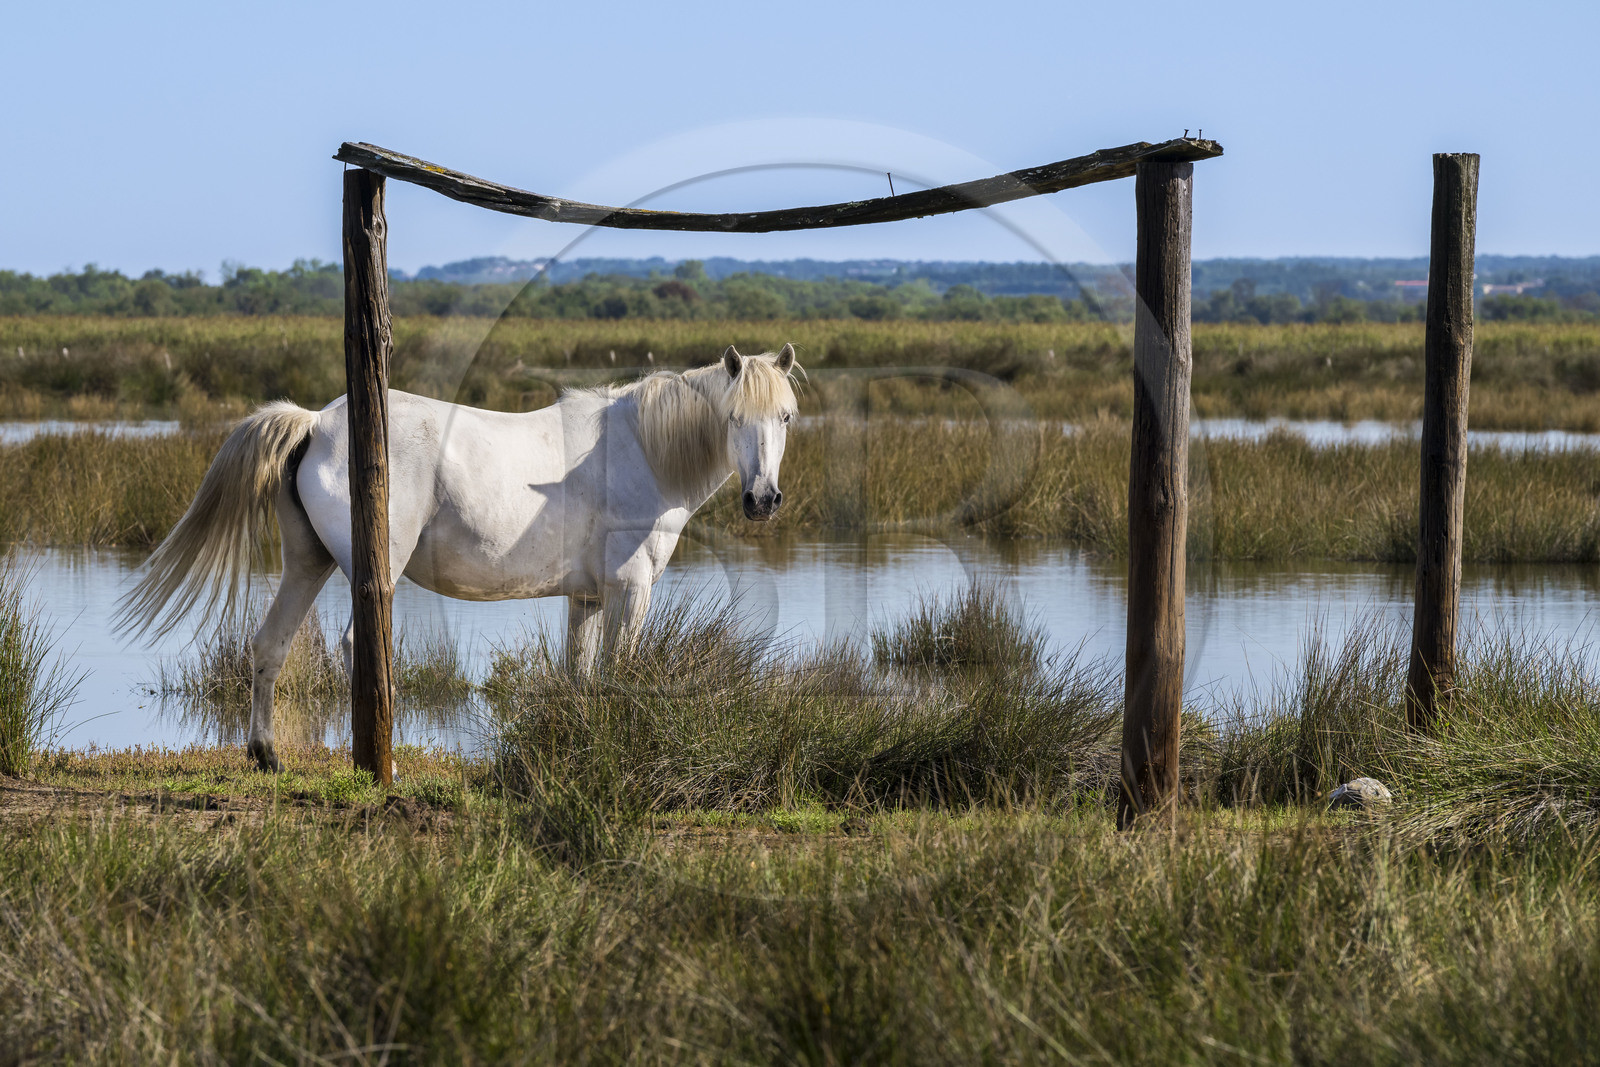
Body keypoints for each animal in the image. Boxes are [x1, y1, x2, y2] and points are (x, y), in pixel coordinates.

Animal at [115, 343, 800, 772]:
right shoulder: (629, 590)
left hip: (306, 563)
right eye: (734, 417)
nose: (763, 500)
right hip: (373, 570)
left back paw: (266, 755)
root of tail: (316, 424)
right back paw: (380, 756)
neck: (640, 449)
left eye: (787, 417)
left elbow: (581, 676)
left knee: (270, 645)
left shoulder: (586, 597)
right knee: (354, 646)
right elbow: (619, 672)